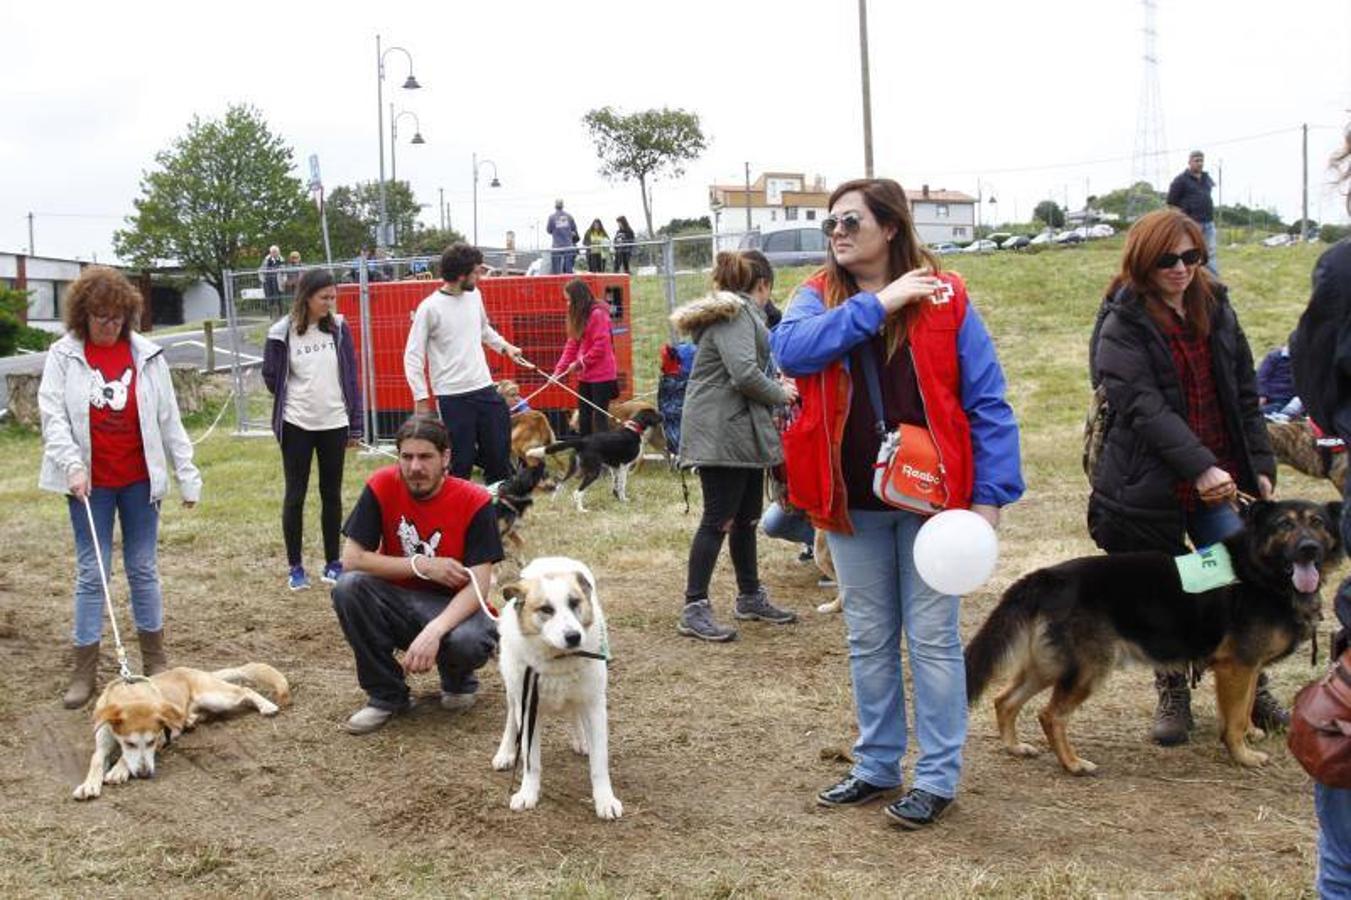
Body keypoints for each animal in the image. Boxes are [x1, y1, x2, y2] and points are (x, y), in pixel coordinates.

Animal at [497, 554, 621, 810]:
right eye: (546, 609)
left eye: (575, 603)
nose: (574, 637)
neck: (557, 658)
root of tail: (551, 559)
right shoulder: (527, 708)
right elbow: (531, 761)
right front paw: (527, 793)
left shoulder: (594, 706)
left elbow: (599, 763)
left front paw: (605, 799)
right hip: (513, 692)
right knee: (511, 719)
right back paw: (505, 753)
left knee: (575, 712)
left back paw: (581, 740)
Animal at [961, 497, 1340, 772]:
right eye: (1284, 525)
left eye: (1317, 523)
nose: (1309, 548)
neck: (1258, 569)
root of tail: (1047, 576)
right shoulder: (1237, 667)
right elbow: (1233, 719)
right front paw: (1242, 755)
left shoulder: (1248, 669)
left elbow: (1244, 709)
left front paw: (1250, 735)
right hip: (1087, 671)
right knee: (1050, 715)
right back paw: (1072, 764)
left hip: (1050, 666)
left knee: (1004, 700)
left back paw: (1014, 747)